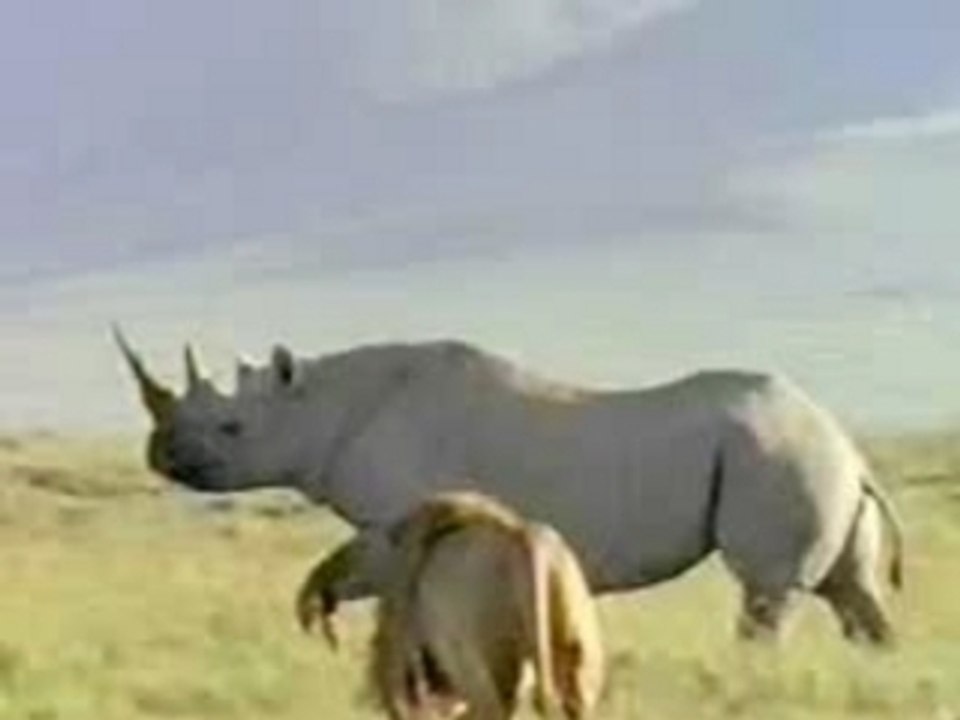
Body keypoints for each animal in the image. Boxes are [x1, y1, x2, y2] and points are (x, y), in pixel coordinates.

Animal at [115, 327, 904, 646]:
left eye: (231, 429)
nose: (160, 453)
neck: (321, 403)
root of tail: (847, 446)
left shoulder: (402, 519)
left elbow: (358, 578)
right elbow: (340, 573)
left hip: (776, 456)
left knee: (768, 594)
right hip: (813, 464)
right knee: (853, 593)